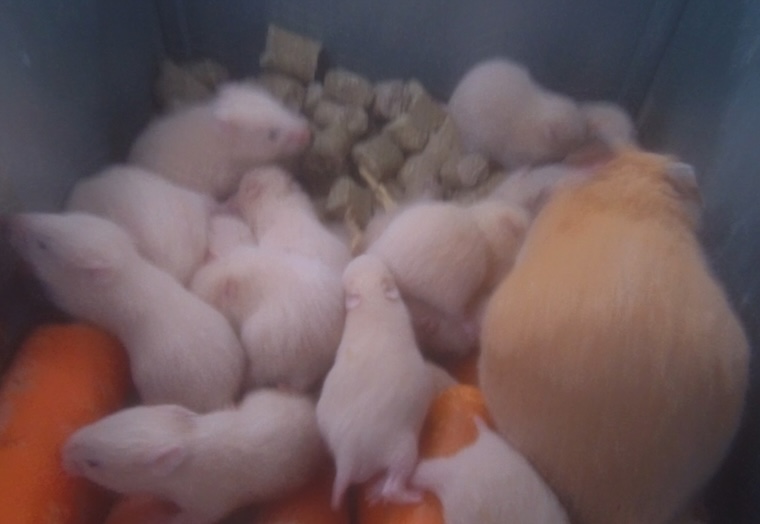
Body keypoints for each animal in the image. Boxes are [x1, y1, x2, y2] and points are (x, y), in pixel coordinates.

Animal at [9, 212, 245, 412]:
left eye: (43, 245)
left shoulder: (75, 304)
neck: (125, 265)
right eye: (65, 216)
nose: (14, 219)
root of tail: (222, 398)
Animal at [62, 389, 326, 524]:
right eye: (111, 418)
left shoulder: (206, 504)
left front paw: (160, 518)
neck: (186, 438)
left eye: (94, 464)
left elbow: (193, 518)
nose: (64, 450)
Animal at [316, 254, 435, 508]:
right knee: (393, 485)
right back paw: (410, 495)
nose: (366, 256)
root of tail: (346, 457)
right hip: (404, 450)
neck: (371, 299)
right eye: (388, 274)